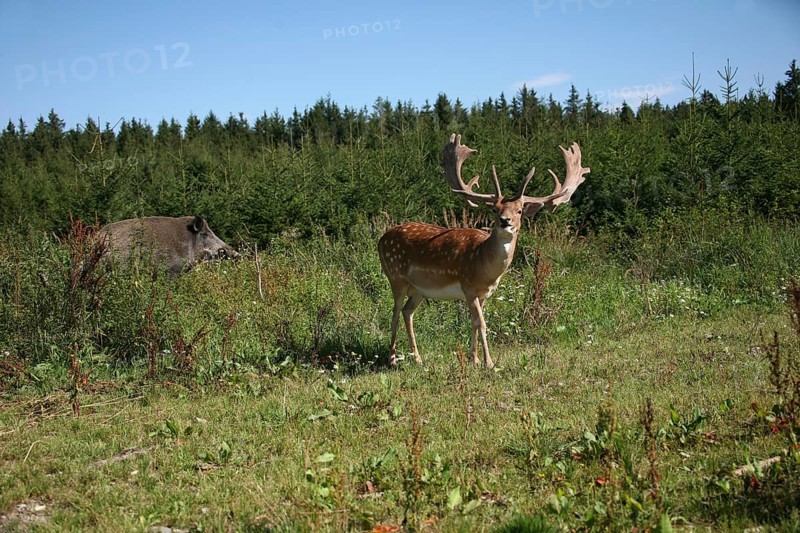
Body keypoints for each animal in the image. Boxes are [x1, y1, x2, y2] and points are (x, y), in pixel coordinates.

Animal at [378, 133, 589, 369]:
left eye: (519, 211)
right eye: (495, 209)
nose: (505, 221)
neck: (483, 266)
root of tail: (381, 239)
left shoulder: (485, 293)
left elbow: (474, 322)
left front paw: (475, 358)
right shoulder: (468, 286)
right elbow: (482, 323)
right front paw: (489, 362)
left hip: (419, 289)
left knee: (407, 311)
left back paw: (417, 357)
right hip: (395, 275)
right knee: (395, 312)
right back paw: (392, 358)